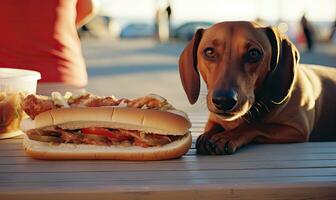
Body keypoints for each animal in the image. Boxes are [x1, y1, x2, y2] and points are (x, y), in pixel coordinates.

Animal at [180, 21, 336, 155]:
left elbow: (256, 126)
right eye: (209, 52)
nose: (224, 101)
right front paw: (207, 135)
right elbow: (214, 126)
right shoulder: (214, 120)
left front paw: (227, 136)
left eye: (253, 53)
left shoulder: (297, 129)